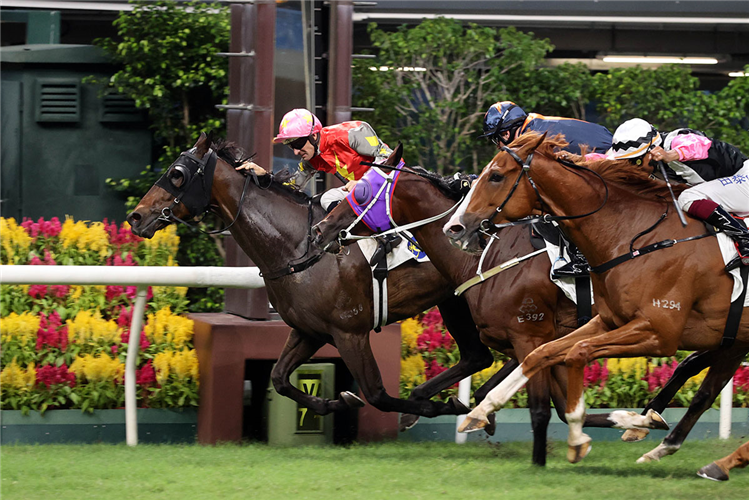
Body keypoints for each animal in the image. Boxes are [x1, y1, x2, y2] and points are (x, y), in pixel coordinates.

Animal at [125, 134, 496, 426]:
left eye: (177, 174)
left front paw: (431, 407)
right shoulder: (308, 330)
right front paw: (332, 402)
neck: (298, 246)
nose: (135, 217)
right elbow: (279, 378)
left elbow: (376, 393)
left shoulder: (350, 332)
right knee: (477, 357)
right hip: (454, 300)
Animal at [312, 145, 672, 464]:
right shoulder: (543, 339)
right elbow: (560, 403)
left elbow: (541, 407)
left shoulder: (530, 336)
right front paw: (630, 422)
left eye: (360, 191)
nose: (321, 229)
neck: (486, 256)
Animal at [444, 134, 748, 464]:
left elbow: (578, 353)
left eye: (496, 176)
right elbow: (541, 354)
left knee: (702, 391)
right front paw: (480, 411)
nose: (454, 227)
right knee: (701, 388)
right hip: (732, 339)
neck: (638, 238)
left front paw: (579, 437)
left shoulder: (659, 333)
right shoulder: (607, 321)